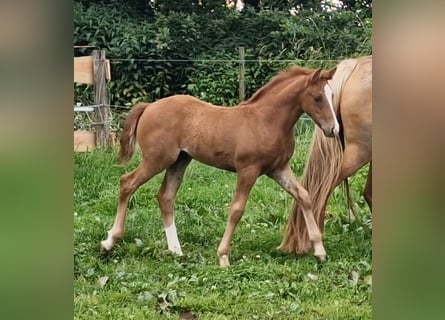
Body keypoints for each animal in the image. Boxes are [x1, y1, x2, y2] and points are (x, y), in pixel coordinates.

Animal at [100, 65, 338, 268]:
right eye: (317, 98)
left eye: (331, 96)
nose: (333, 129)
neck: (266, 121)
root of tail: (149, 106)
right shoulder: (248, 170)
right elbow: (236, 209)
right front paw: (223, 255)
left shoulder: (278, 169)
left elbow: (304, 196)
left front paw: (319, 249)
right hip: (157, 160)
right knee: (127, 183)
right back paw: (109, 242)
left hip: (179, 161)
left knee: (165, 196)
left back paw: (176, 250)